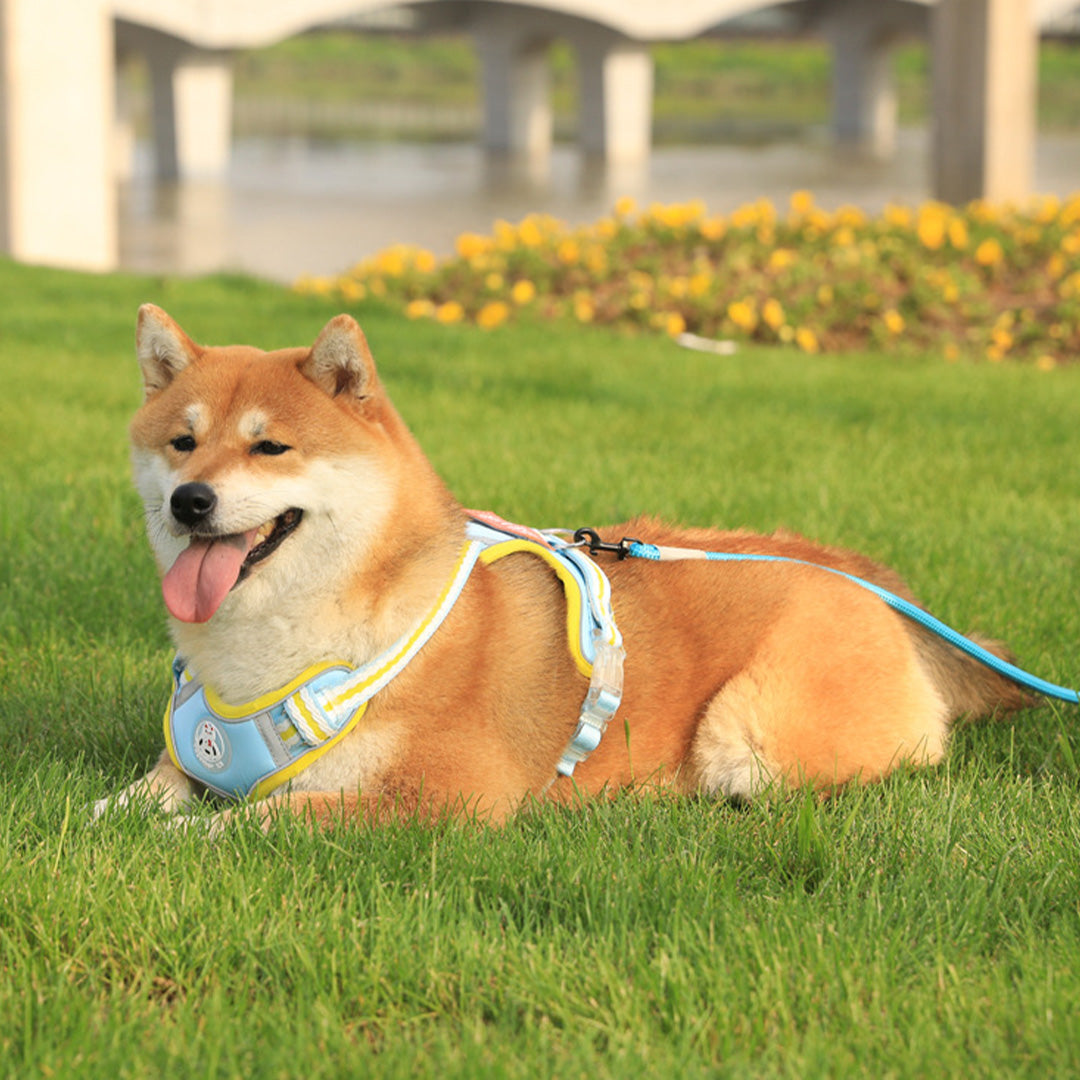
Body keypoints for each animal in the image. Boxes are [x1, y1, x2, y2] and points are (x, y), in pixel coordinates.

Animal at [99, 308, 1028, 829]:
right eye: (181, 441)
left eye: (270, 448)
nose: (190, 500)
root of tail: (870, 580)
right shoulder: (189, 759)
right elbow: (137, 795)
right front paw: (109, 822)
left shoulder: (449, 792)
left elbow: (268, 819)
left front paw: (187, 840)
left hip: (751, 738)